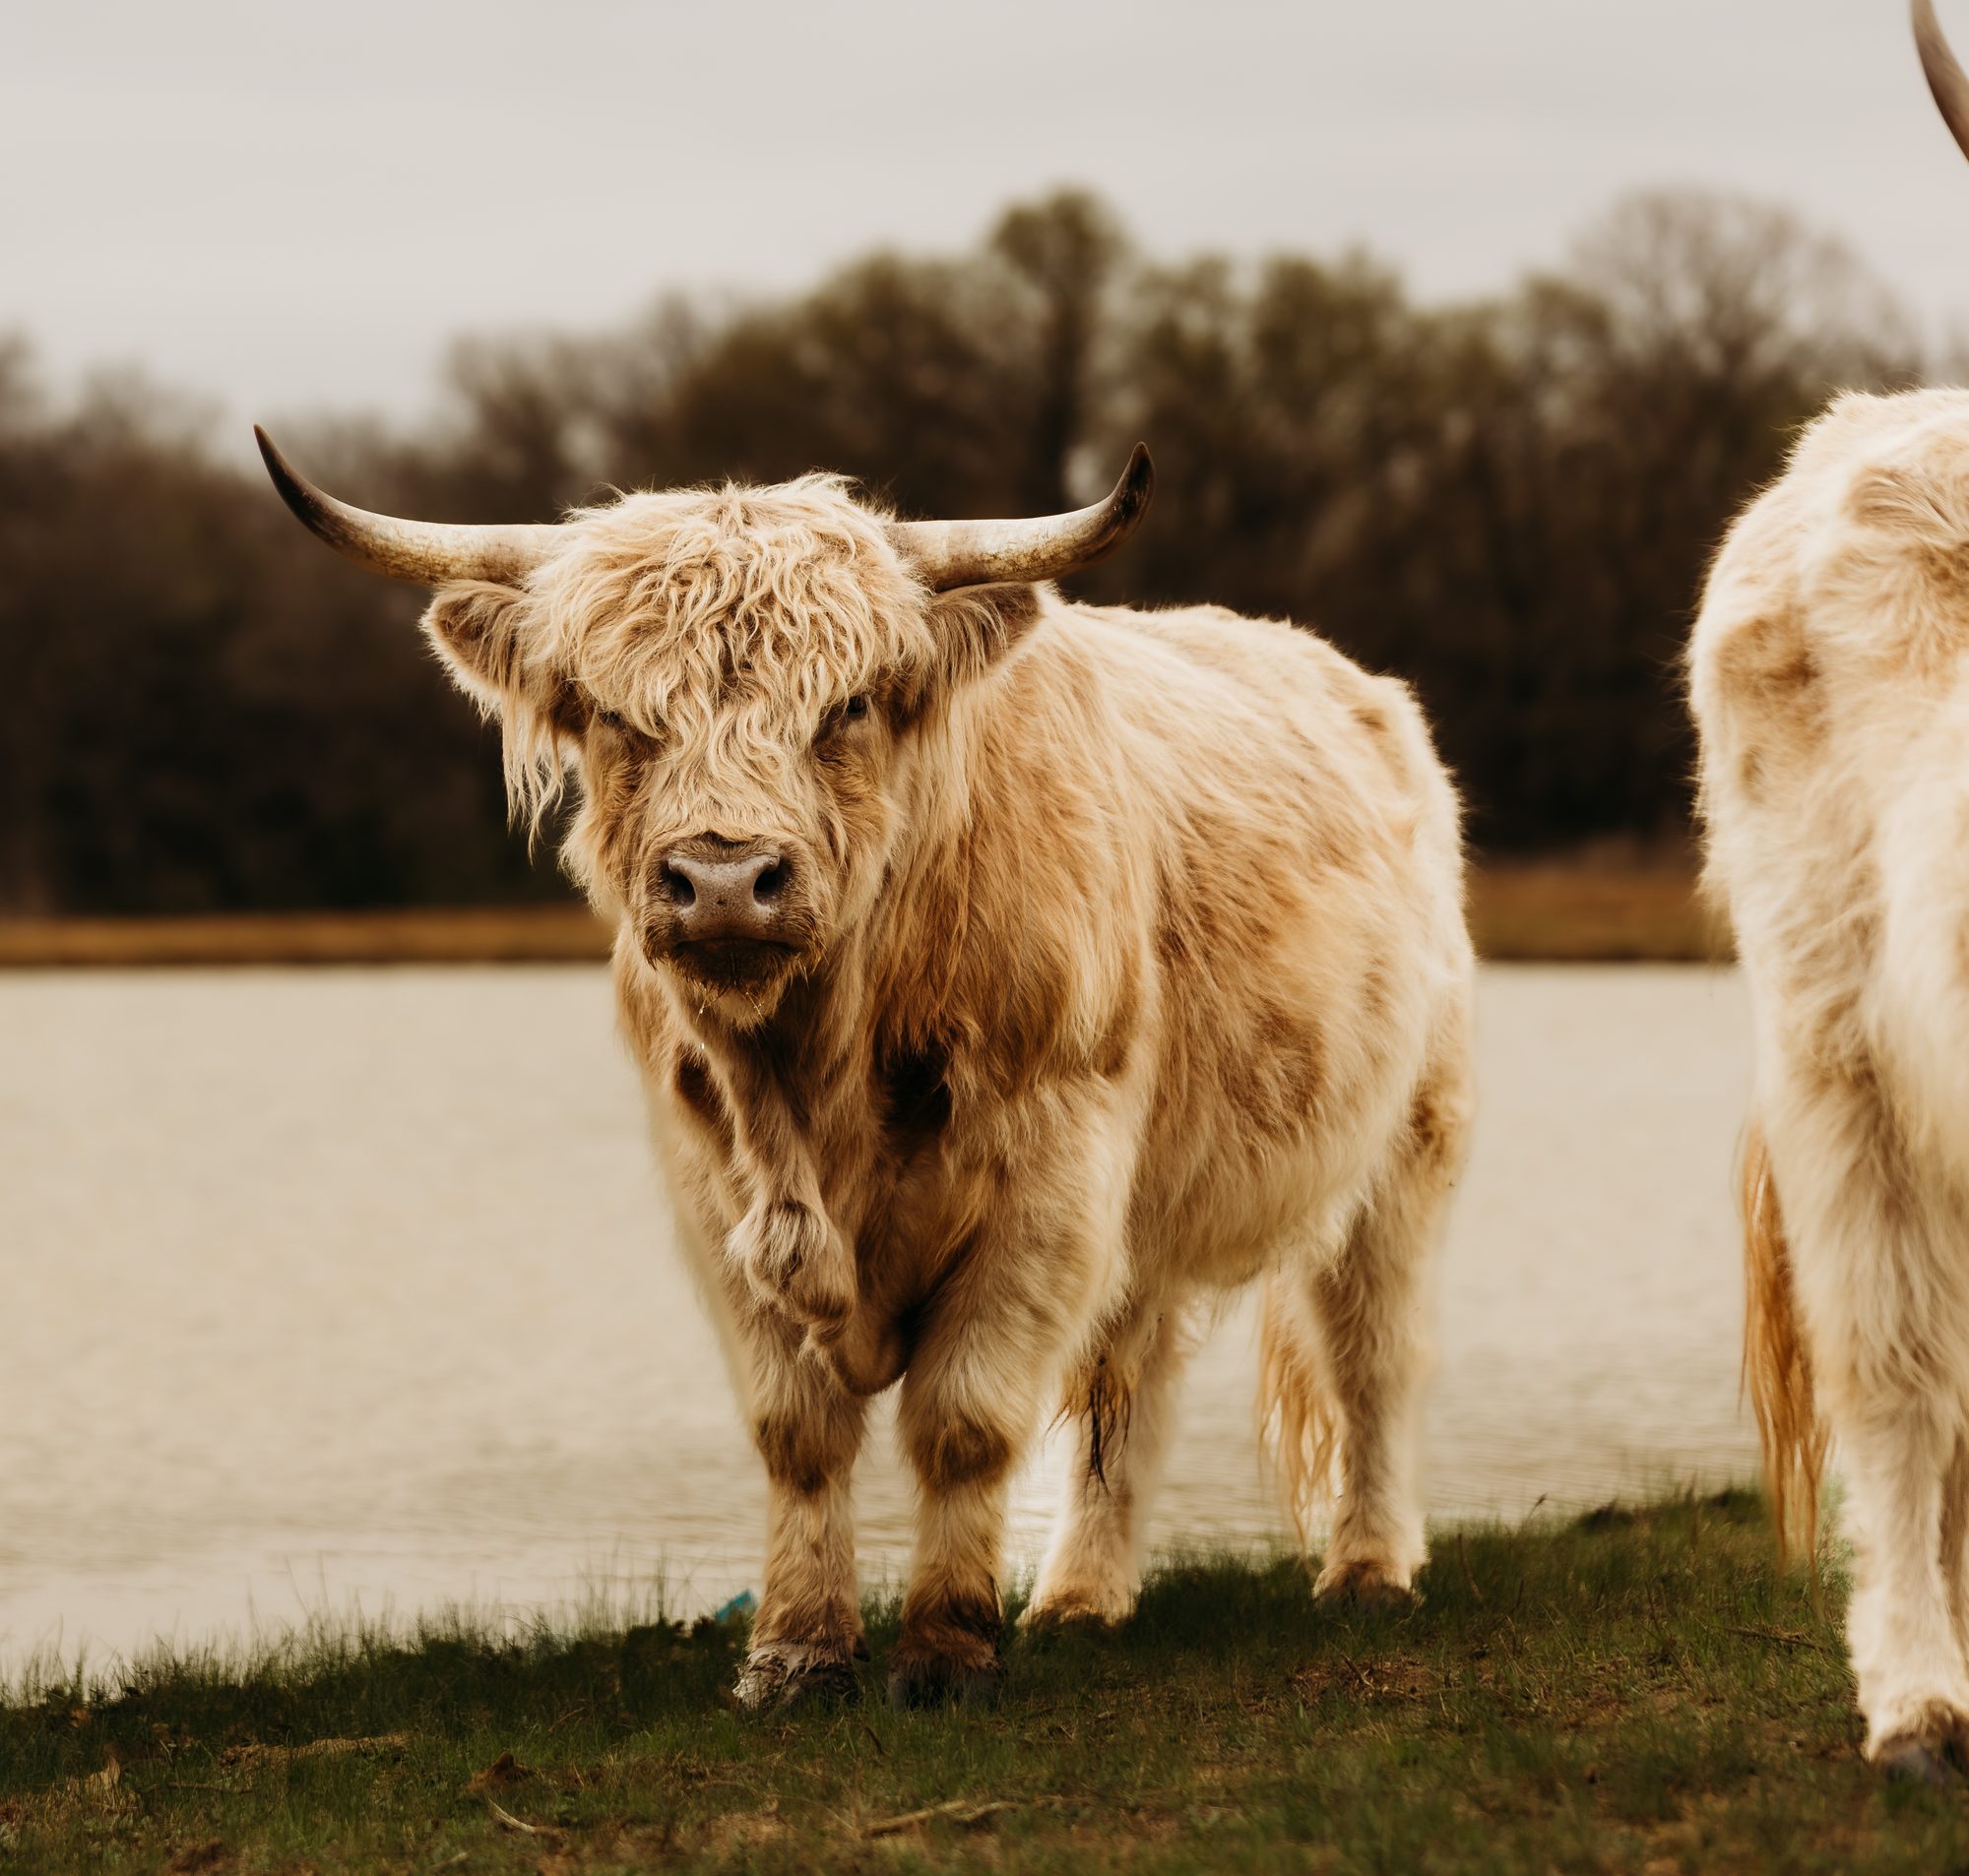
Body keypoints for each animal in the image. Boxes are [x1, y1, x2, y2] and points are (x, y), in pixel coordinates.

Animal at [256, 426, 1473, 1710]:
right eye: (619, 716)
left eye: (843, 706)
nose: (724, 879)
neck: (811, 1081)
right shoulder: (717, 1195)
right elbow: (796, 1432)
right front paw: (795, 1652)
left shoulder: (1047, 1177)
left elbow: (964, 1419)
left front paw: (945, 1649)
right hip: (1145, 1216)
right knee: (1125, 1382)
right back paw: (1080, 1598)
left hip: (1403, 1148)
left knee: (1371, 1357)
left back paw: (1367, 1570)